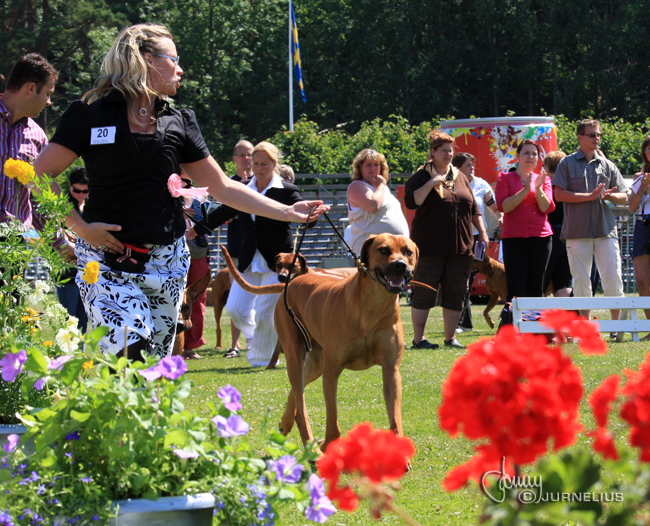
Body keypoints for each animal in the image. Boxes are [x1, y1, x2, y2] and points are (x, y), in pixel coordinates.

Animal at [224, 236, 416, 454]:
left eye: (408, 252)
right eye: (383, 250)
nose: (400, 264)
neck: (371, 307)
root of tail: (292, 282)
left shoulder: (391, 369)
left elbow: (395, 417)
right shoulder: (331, 369)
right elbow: (332, 420)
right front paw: (327, 444)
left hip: (316, 362)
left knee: (297, 388)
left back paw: (287, 421)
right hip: (294, 351)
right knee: (301, 404)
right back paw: (309, 443)